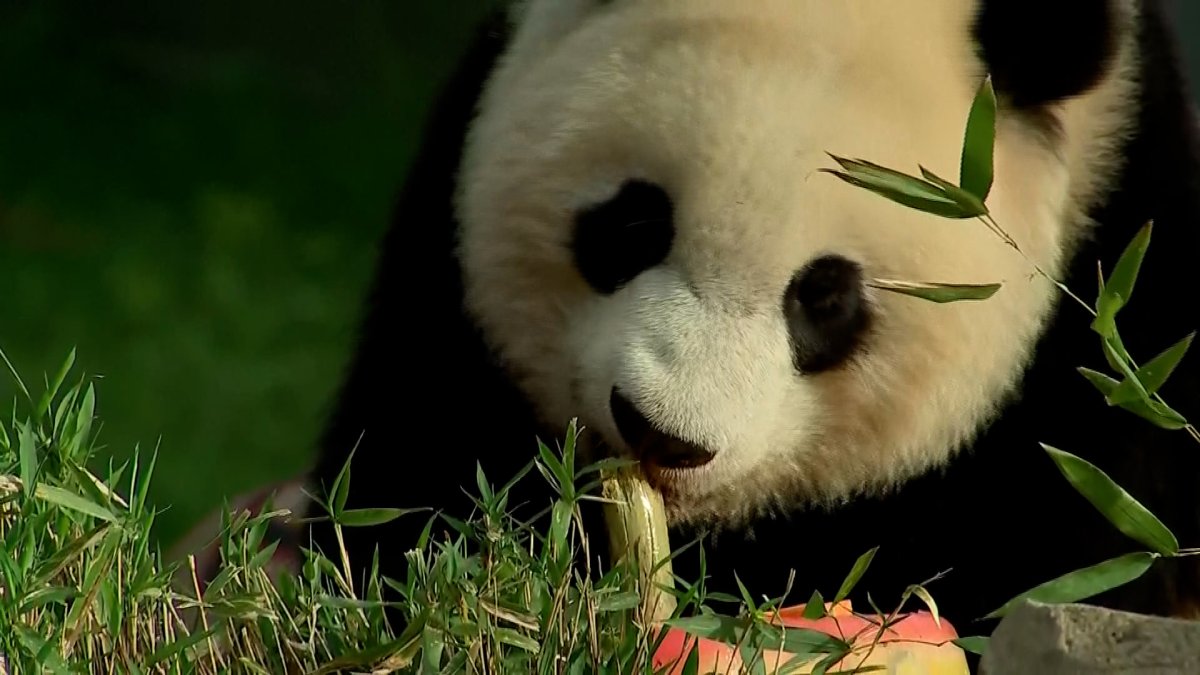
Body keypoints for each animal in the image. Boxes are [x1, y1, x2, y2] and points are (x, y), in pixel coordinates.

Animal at [308, 0, 1200, 636]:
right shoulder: (442, 285)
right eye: (638, 222)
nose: (662, 435)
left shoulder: (1106, 339)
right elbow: (410, 486)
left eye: (824, 297)